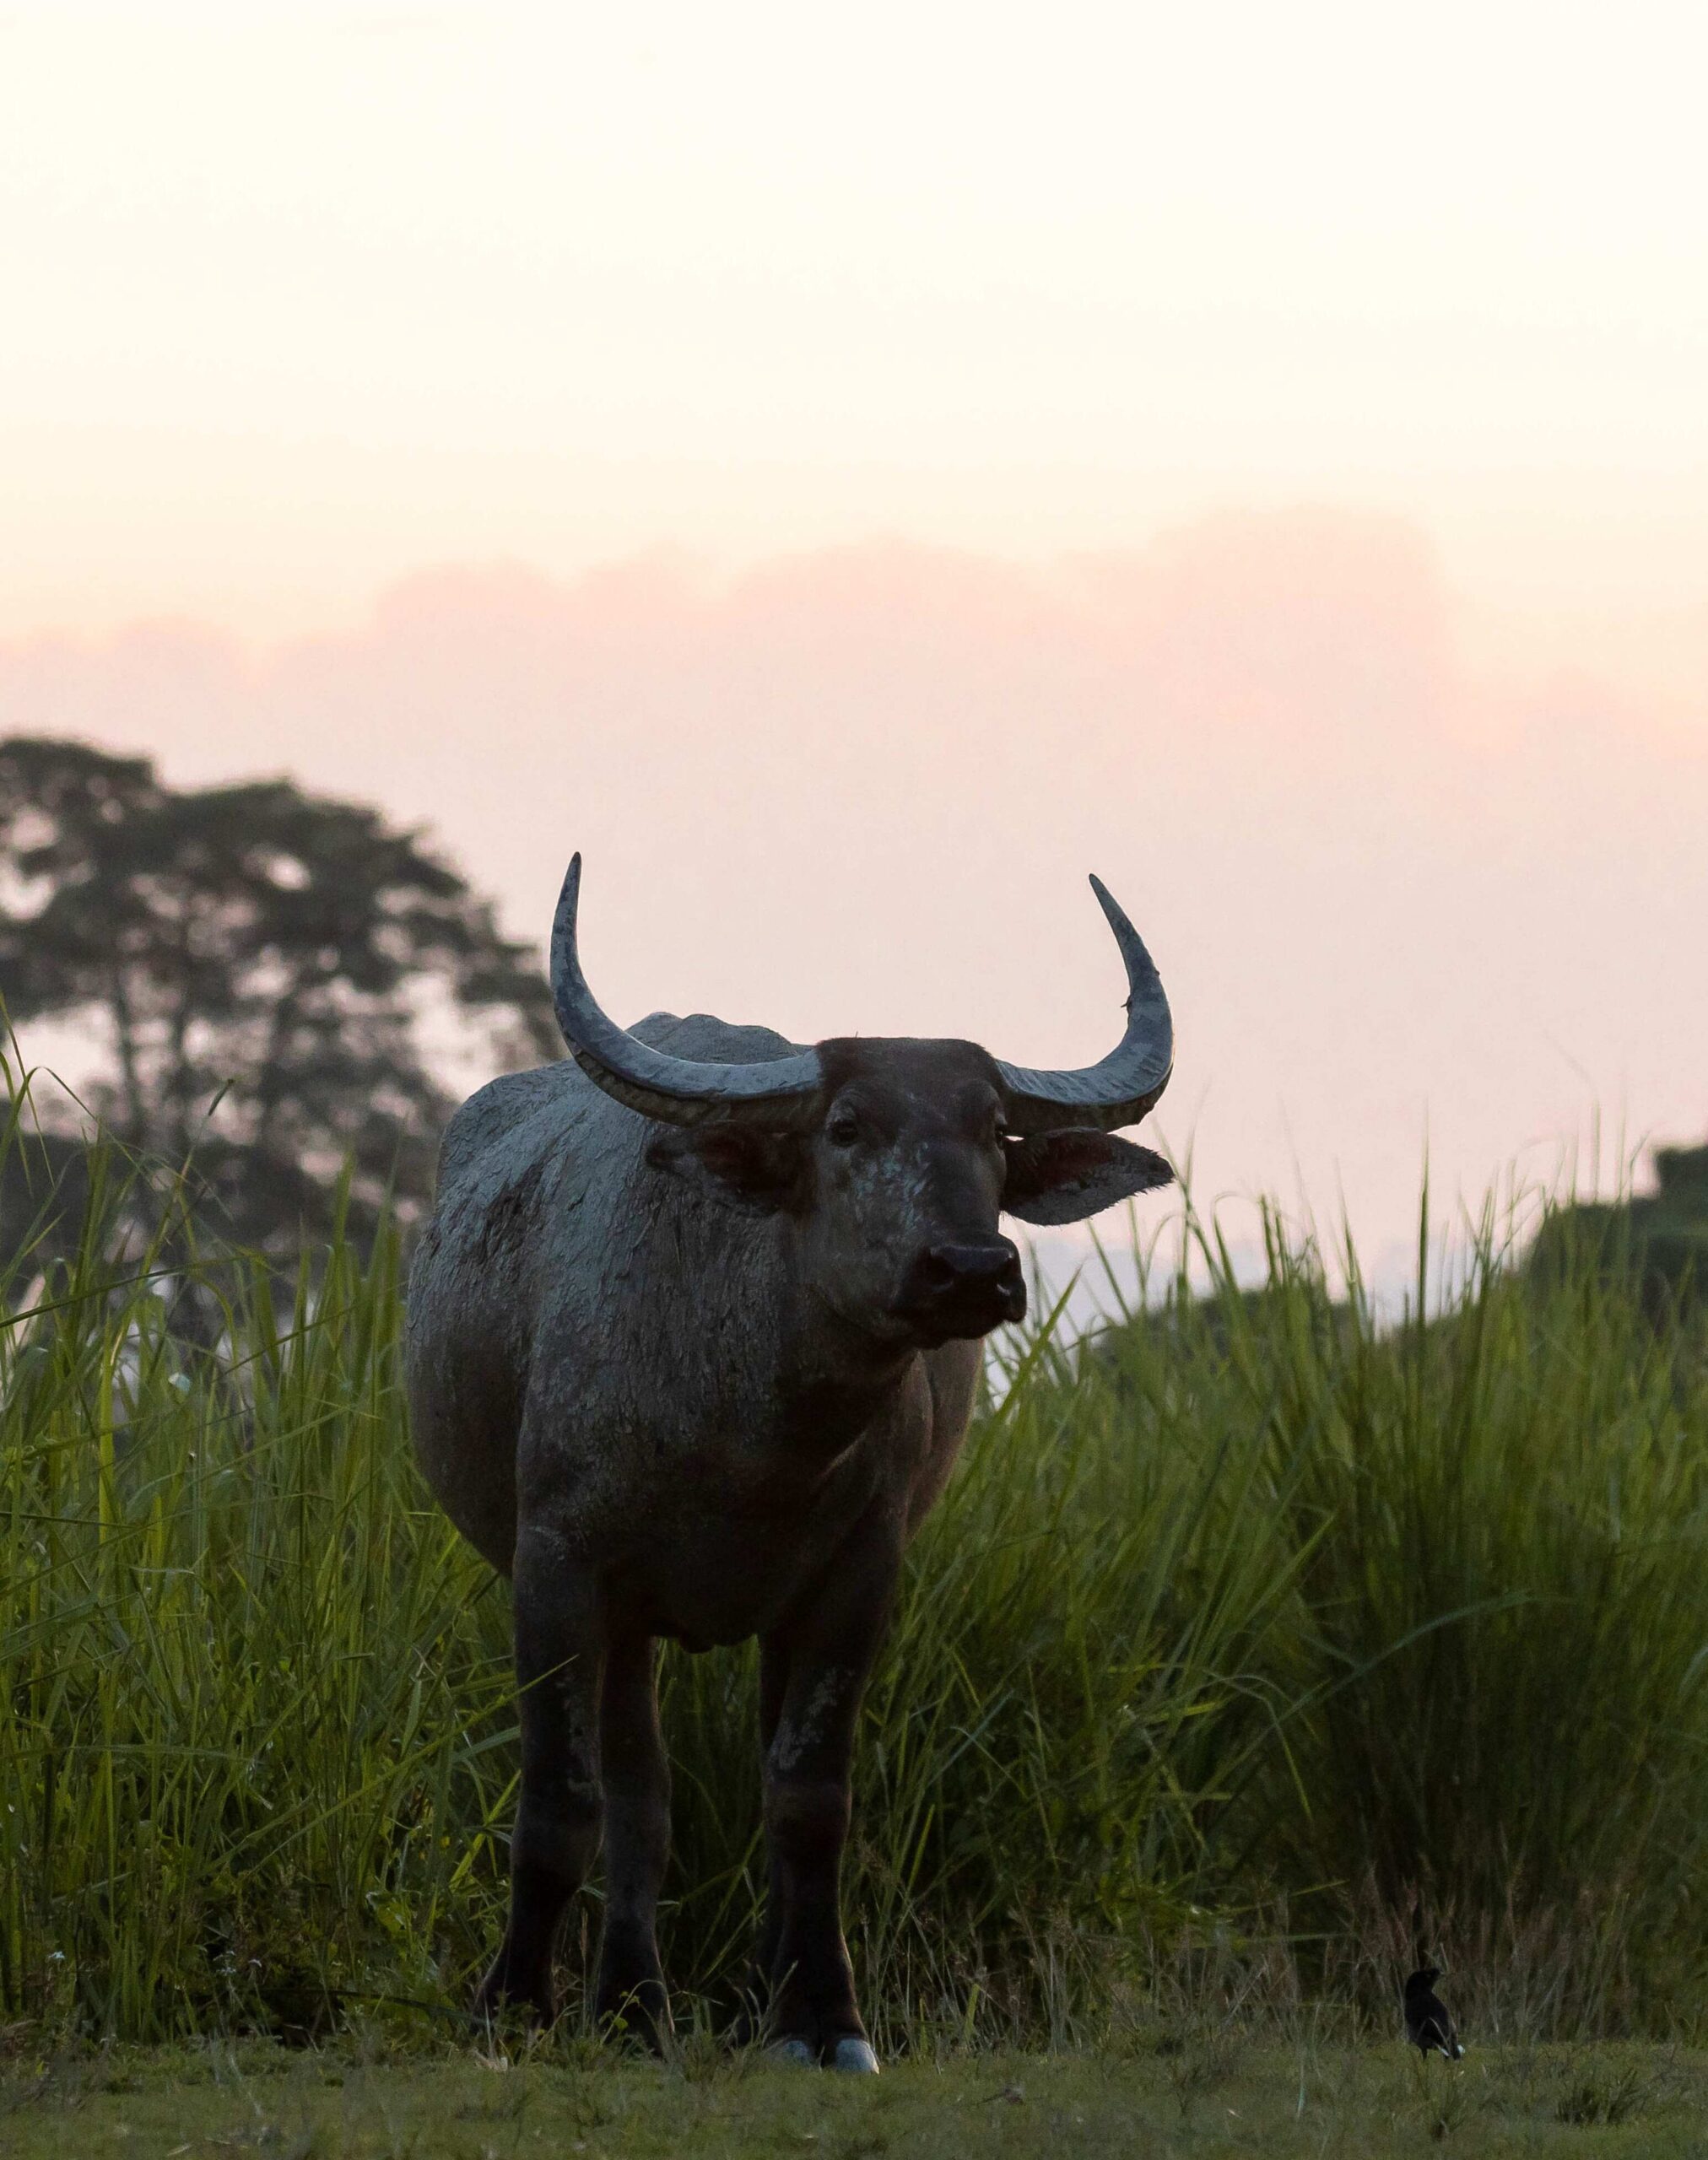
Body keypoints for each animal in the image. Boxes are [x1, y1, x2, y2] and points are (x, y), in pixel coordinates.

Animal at [408, 855, 1165, 2073]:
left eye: (994, 1128)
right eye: (847, 1125)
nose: (972, 1269)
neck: (753, 1437)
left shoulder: (853, 1583)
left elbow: (809, 1802)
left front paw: (823, 2021)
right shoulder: (559, 1569)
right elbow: (562, 1799)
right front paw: (511, 2008)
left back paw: (685, 2004)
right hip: (618, 1620)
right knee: (637, 1795)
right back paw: (632, 2008)